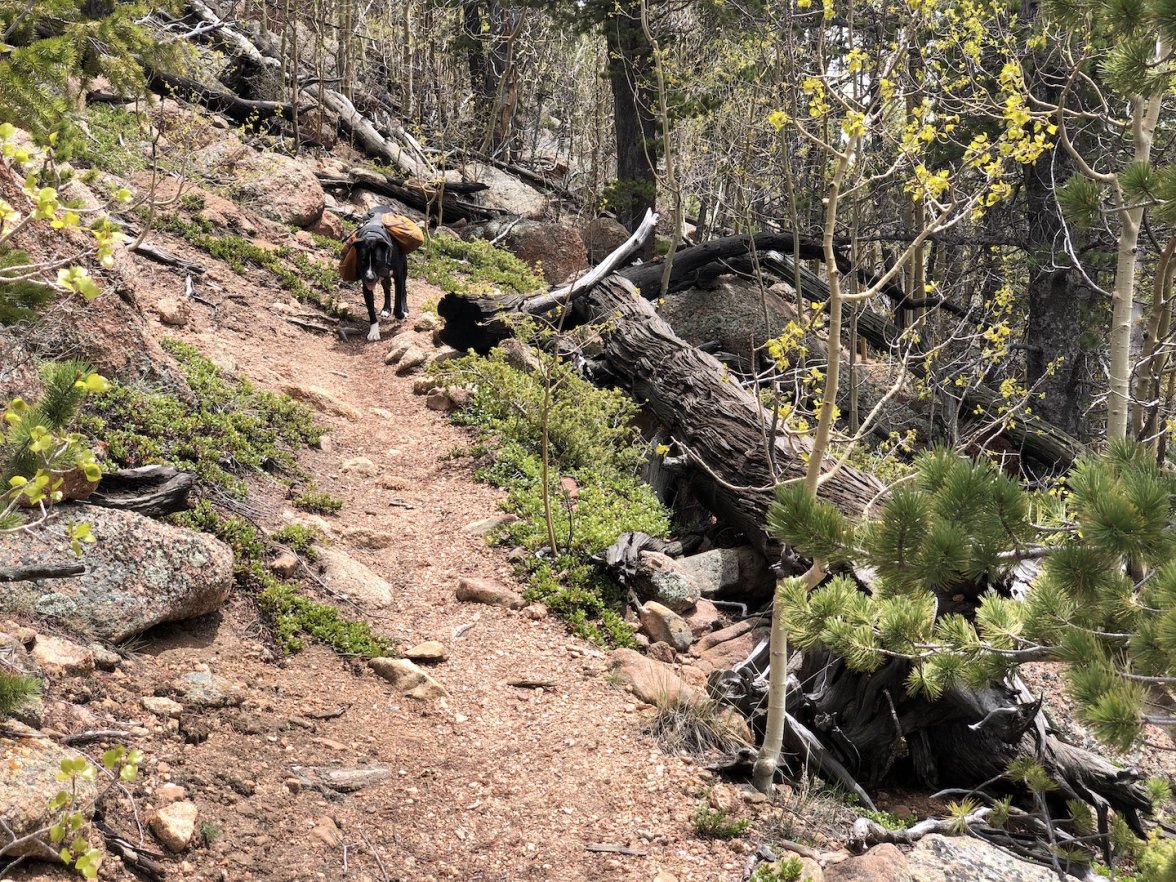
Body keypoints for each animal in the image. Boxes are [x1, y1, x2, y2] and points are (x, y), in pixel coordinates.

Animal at [350, 209, 409, 341]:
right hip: (383, 278)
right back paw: (386, 309)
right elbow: (370, 310)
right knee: (387, 289)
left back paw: (405, 309)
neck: (373, 236)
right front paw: (374, 331)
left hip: (404, 270)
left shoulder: (398, 276)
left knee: (404, 290)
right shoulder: (366, 285)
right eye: (362, 262)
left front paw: (400, 314)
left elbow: (398, 301)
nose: (369, 278)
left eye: (377, 262)